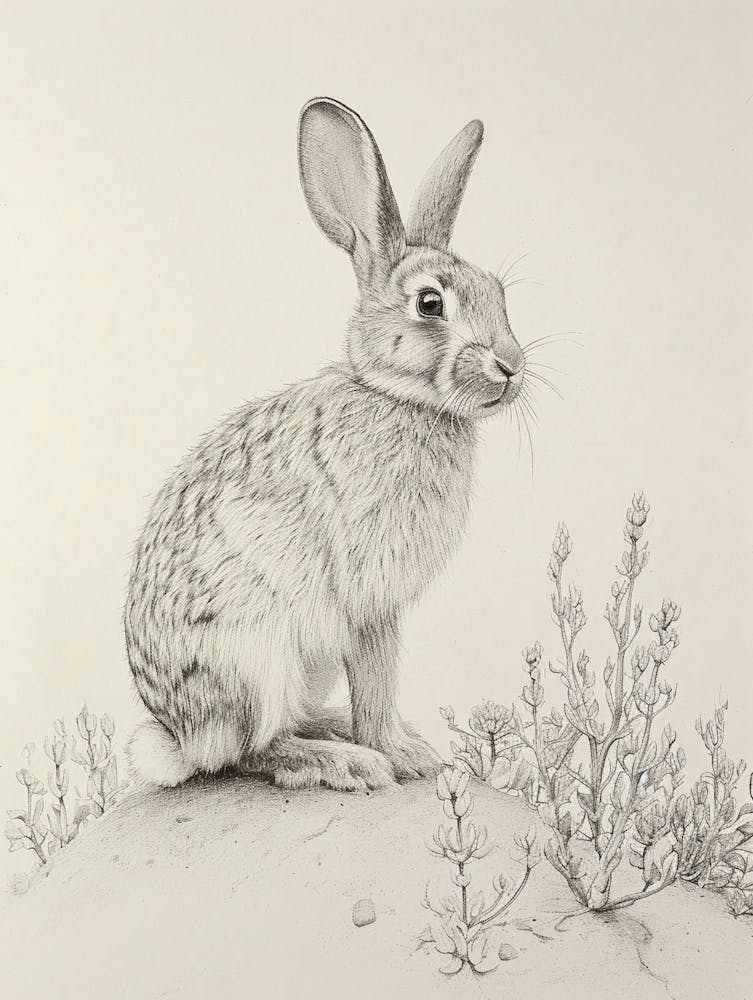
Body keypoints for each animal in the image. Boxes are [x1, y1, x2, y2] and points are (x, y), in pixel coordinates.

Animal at [124, 96, 526, 791]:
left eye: (499, 294)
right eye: (430, 303)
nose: (510, 365)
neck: (398, 398)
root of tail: (180, 738)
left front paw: (409, 750)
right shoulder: (370, 600)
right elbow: (376, 675)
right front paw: (398, 754)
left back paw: (334, 731)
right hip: (259, 658)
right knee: (248, 751)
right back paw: (341, 760)